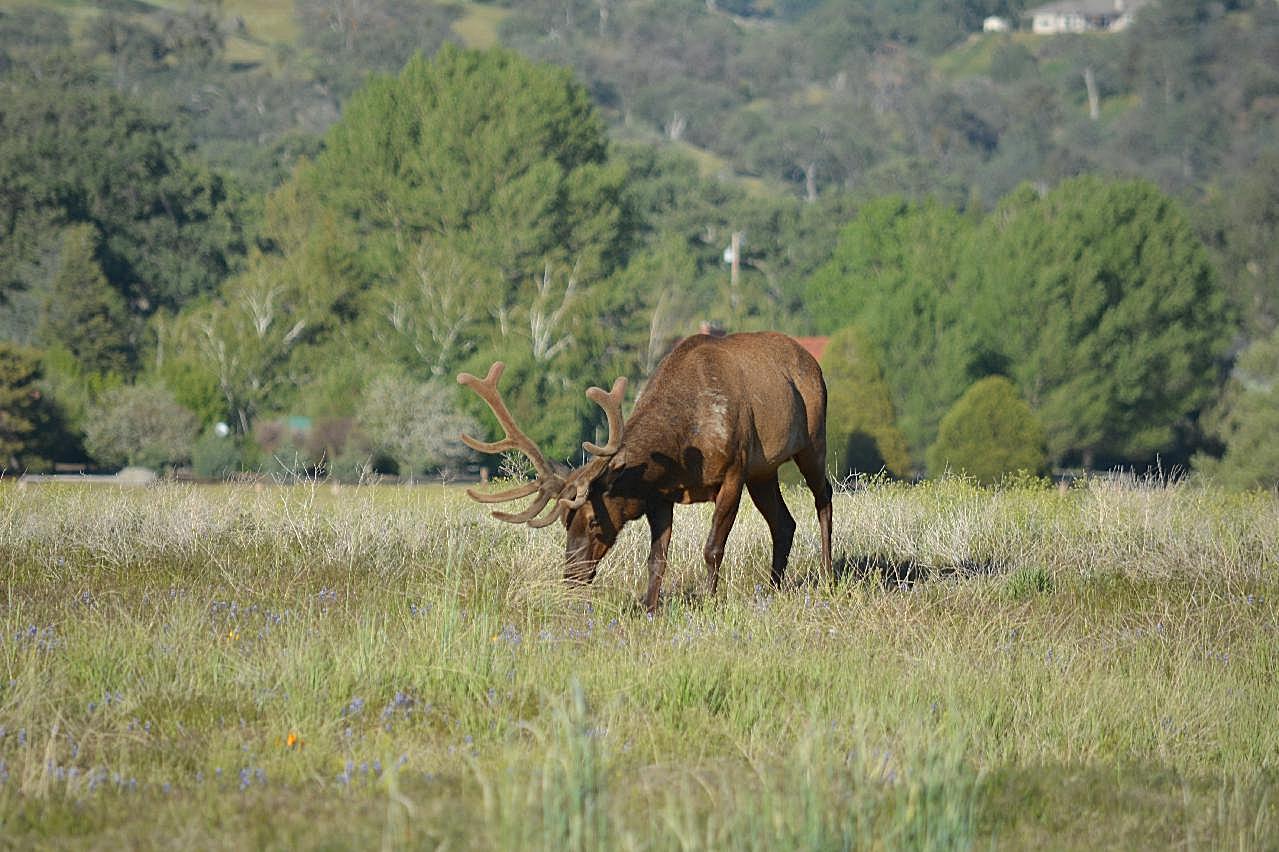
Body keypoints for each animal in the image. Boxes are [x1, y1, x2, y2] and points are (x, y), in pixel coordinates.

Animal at [455, 327, 833, 606]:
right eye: (565, 521)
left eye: (594, 521)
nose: (571, 577)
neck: (683, 450)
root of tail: (812, 360)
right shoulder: (661, 495)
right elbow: (657, 558)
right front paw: (649, 607)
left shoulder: (733, 473)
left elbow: (712, 548)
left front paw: (709, 601)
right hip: (764, 470)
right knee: (784, 523)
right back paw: (773, 588)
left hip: (812, 440)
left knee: (823, 497)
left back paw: (828, 576)